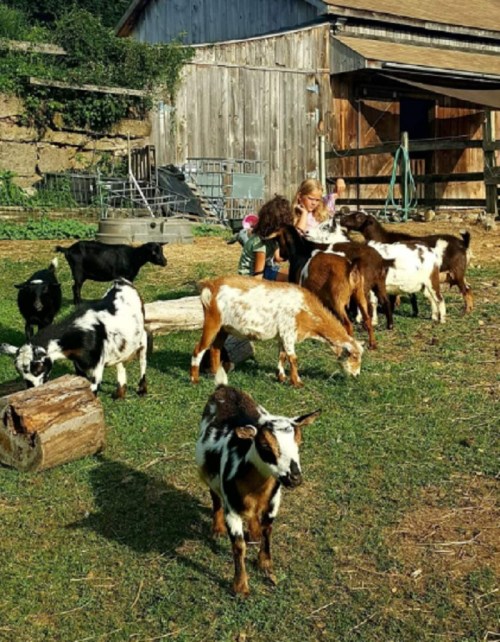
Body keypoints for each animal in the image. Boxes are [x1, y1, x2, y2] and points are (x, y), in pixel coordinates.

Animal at [0, 278, 148, 398]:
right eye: (19, 371)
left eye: (38, 367)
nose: (31, 388)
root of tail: (121, 281)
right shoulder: (79, 366)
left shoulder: (96, 369)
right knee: (121, 362)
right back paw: (120, 393)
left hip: (142, 338)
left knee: (142, 358)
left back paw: (142, 390)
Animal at [190, 275, 364, 387]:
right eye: (354, 356)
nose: (357, 375)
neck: (305, 309)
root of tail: (211, 286)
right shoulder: (288, 332)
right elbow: (293, 358)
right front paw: (297, 382)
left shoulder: (282, 335)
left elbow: (282, 356)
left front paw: (281, 377)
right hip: (212, 322)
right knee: (199, 349)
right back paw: (194, 379)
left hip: (223, 328)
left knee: (215, 349)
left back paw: (216, 374)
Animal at [196, 384, 320, 595]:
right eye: (264, 445)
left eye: (299, 442)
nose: (294, 478)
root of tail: (224, 387)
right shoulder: (232, 509)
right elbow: (239, 546)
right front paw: (240, 587)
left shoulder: (273, 502)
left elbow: (267, 530)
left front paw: (265, 564)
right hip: (209, 474)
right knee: (215, 497)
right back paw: (217, 528)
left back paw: (253, 533)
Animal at [339, 211, 473, 313]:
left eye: (359, 217)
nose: (341, 219)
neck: (384, 238)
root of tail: (463, 243)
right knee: (469, 288)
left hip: (457, 270)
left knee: (465, 290)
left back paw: (466, 311)